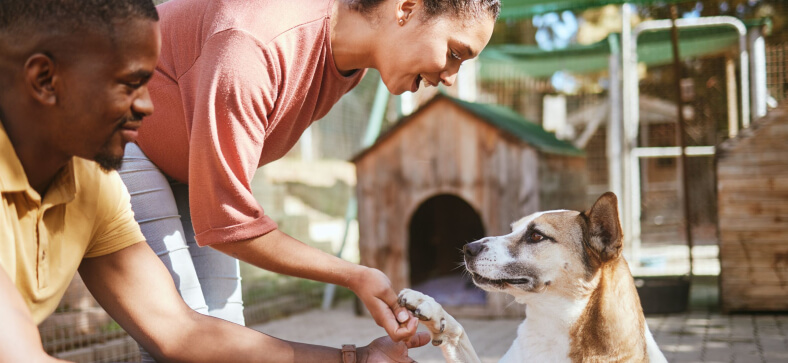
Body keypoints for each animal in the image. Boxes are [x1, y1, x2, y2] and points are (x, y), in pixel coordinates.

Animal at [400, 192, 664, 362]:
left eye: (536, 236)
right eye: (511, 229)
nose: (467, 249)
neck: (551, 325)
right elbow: (458, 333)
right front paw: (433, 310)